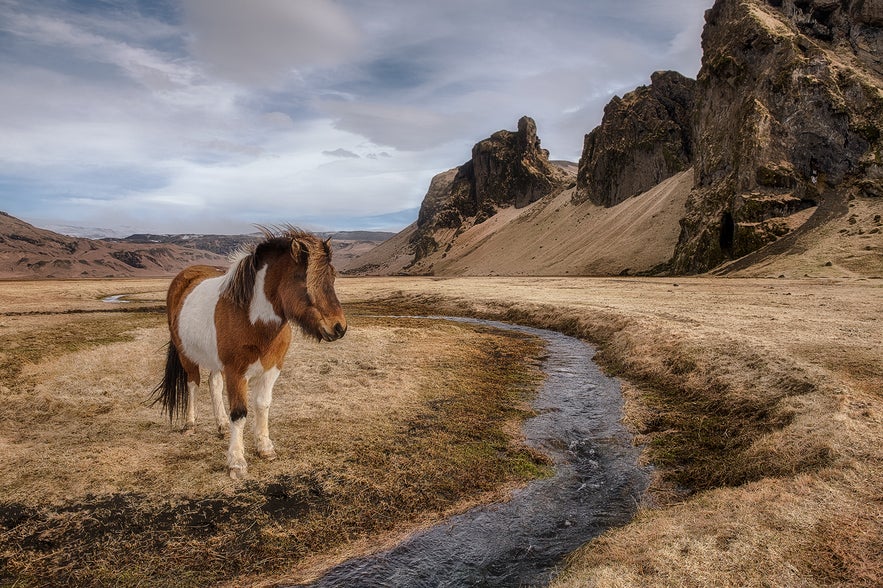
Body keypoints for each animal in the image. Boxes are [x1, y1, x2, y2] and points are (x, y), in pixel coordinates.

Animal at [150, 227, 348, 480]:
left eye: (332, 276)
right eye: (302, 278)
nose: (339, 327)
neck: (252, 318)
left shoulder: (272, 368)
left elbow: (263, 405)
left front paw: (265, 447)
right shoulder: (236, 372)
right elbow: (239, 413)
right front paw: (236, 461)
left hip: (215, 360)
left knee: (214, 384)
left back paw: (221, 425)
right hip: (187, 355)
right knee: (193, 384)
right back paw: (190, 424)